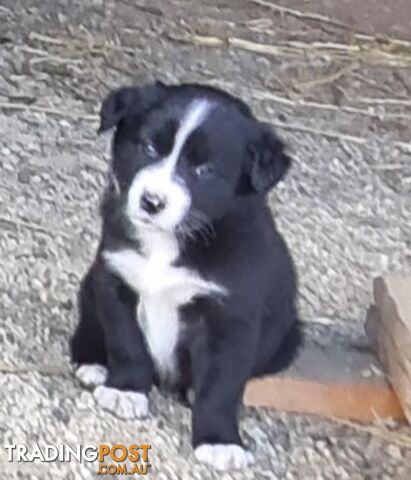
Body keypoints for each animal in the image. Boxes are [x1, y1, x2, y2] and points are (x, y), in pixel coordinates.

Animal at [71, 81, 302, 468]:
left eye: (203, 170)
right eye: (149, 147)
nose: (151, 201)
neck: (167, 244)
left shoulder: (231, 319)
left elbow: (220, 386)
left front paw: (220, 442)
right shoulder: (116, 280)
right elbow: (126, 343)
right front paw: (125, 391)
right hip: (91, 284)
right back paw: (93, 363)